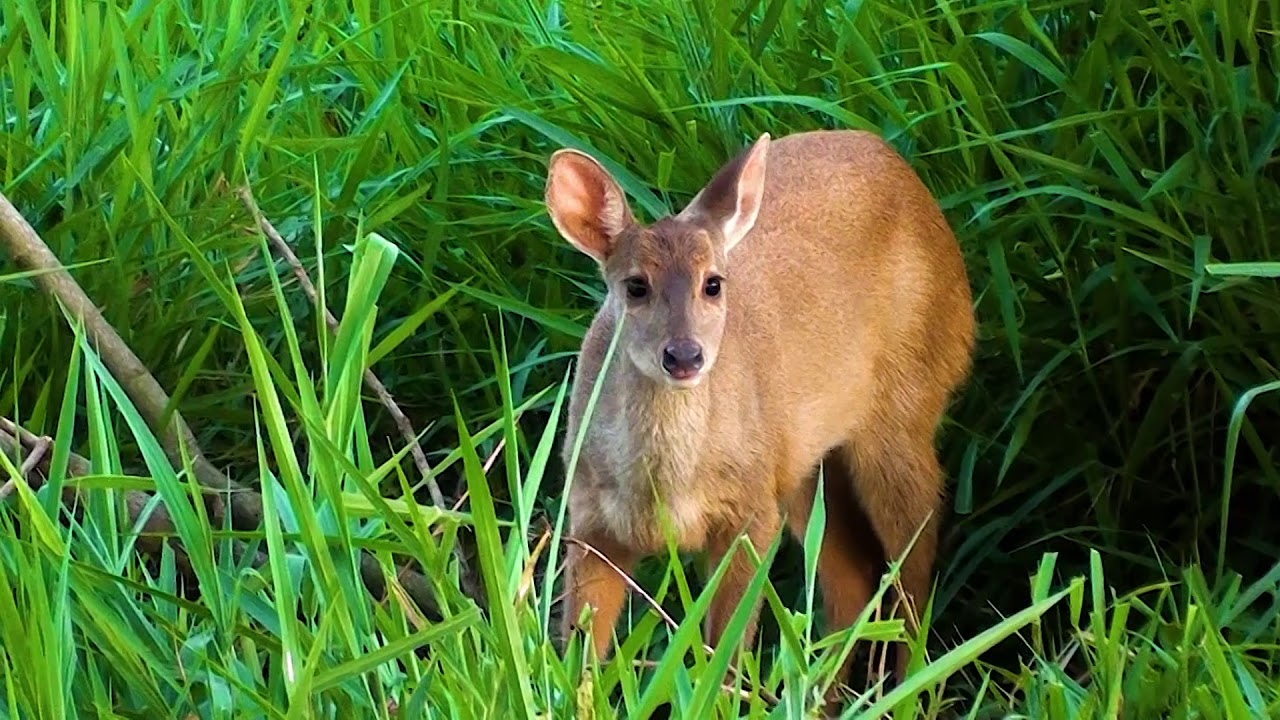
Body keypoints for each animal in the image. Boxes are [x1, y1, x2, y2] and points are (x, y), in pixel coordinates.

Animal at [544, 129, 975, 695]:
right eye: (635, 286)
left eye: (713, 283)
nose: (684, 355)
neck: (664, 487)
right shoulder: (589, 516)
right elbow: (578, 660)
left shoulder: (748, 510)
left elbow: (724, 653)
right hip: (803, 466)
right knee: (853, 577)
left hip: (907, 406)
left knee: (915, 560)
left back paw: (909, 691)